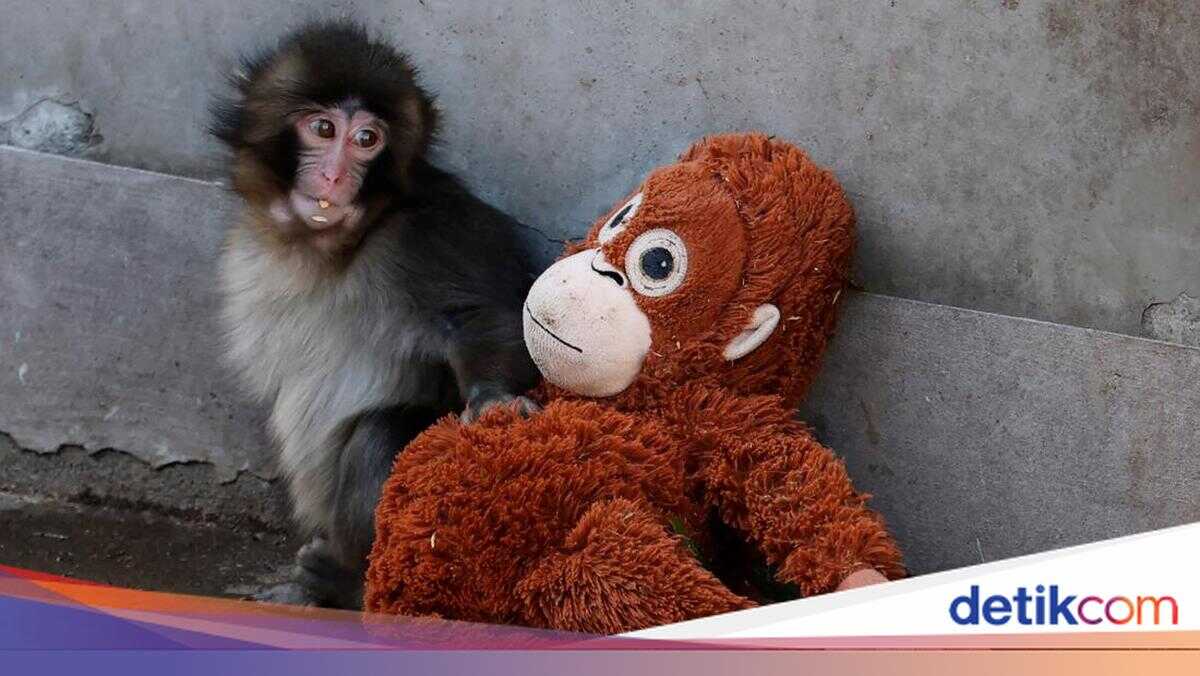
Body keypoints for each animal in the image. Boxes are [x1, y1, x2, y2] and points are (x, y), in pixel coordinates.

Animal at [210, 21, 540, 609]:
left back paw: (346, 583)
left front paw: (494, 399)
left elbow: (483, 317)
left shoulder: (429, 234)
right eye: (323, 129)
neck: (336, 247)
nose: (336, 176)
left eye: (367, 140)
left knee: (380, 435)